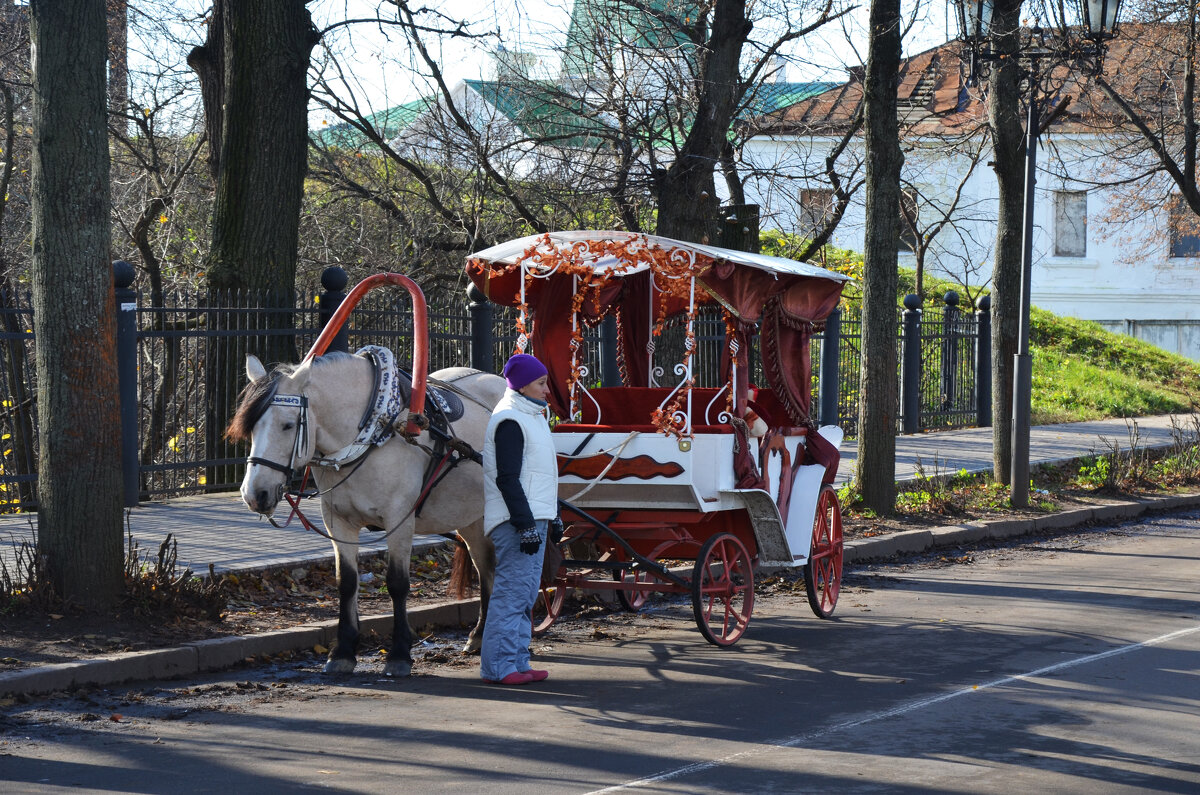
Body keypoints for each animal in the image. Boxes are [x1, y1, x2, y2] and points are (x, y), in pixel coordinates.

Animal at [226, 353, 504, 677]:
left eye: (288, 425)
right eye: (252, 427)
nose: (254, 494)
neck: (372, 430)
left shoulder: (400, 519)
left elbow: (397, 583)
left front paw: (399, 654)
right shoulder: (338, 521)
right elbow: (346, 582)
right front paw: (343, 651)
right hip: (473, 517)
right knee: (486, 567)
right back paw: (480, 635)